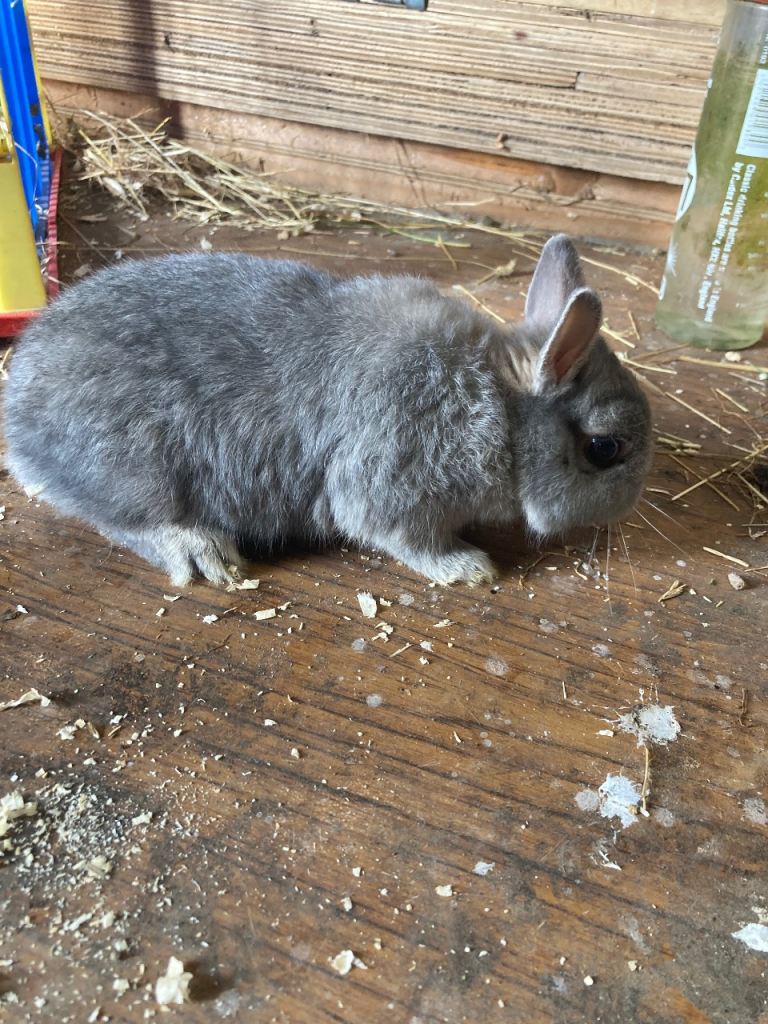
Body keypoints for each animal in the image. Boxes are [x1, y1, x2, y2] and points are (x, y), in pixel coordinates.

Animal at [3, 234, 652, 587]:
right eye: (605, 448)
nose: (635, 502)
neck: (500, 405)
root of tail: (17, 416)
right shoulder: (392, 483)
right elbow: (404, 537)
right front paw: (469, 568)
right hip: (137, 471)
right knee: (122, 521)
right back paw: (201, 552)